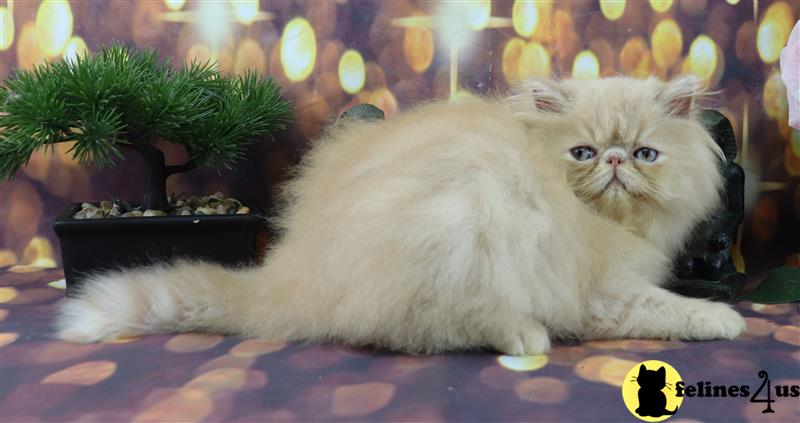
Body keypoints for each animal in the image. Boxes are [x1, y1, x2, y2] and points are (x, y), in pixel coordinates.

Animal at [54, 75, 744, 354]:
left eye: (646, 153)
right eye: (583, 153)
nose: (616, 162)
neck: (598, 218)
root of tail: (288, 280)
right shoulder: (603, 292)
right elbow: (670, 310)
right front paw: (727, 321)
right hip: (465, 223)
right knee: (428, 329)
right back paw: (524, 335)